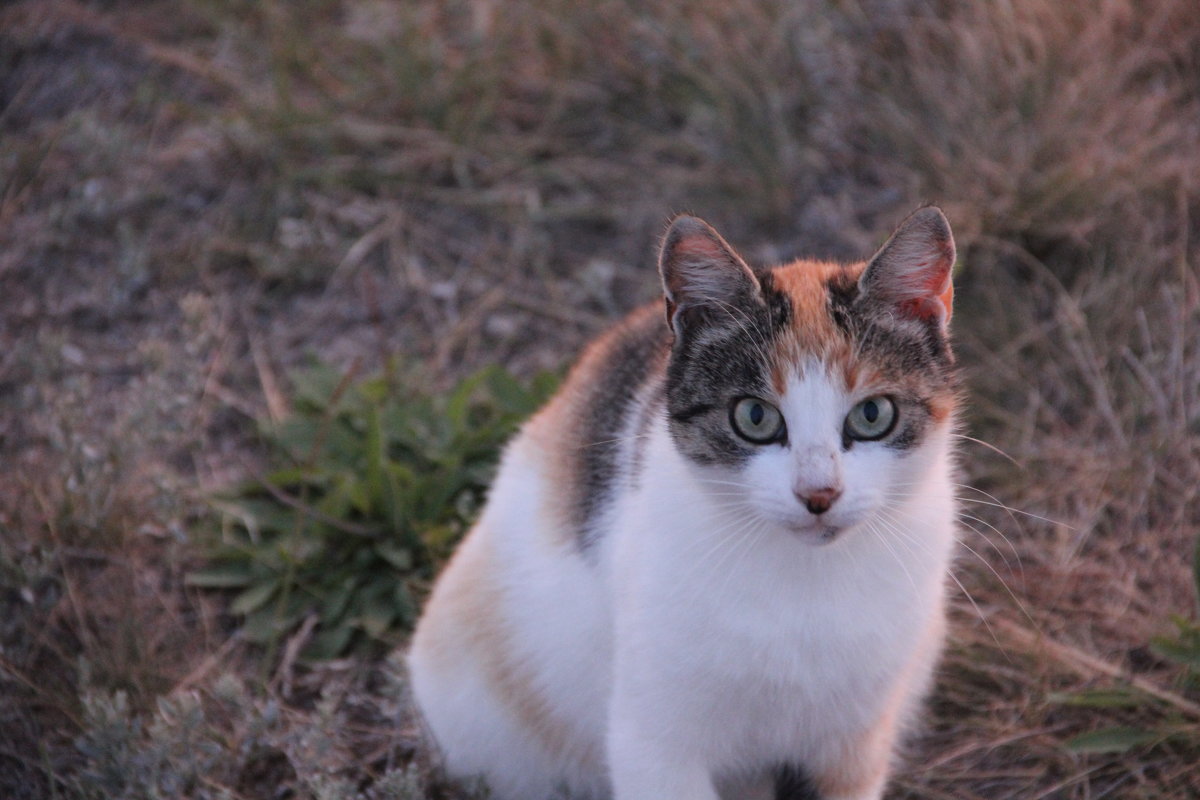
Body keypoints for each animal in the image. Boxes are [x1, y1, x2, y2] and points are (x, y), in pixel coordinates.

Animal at [408, 208, 960, 800]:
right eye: (755, 417)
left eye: (873, 414)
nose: (819, 494)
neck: (804, 587)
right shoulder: (654, 744)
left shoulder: (854, 743)